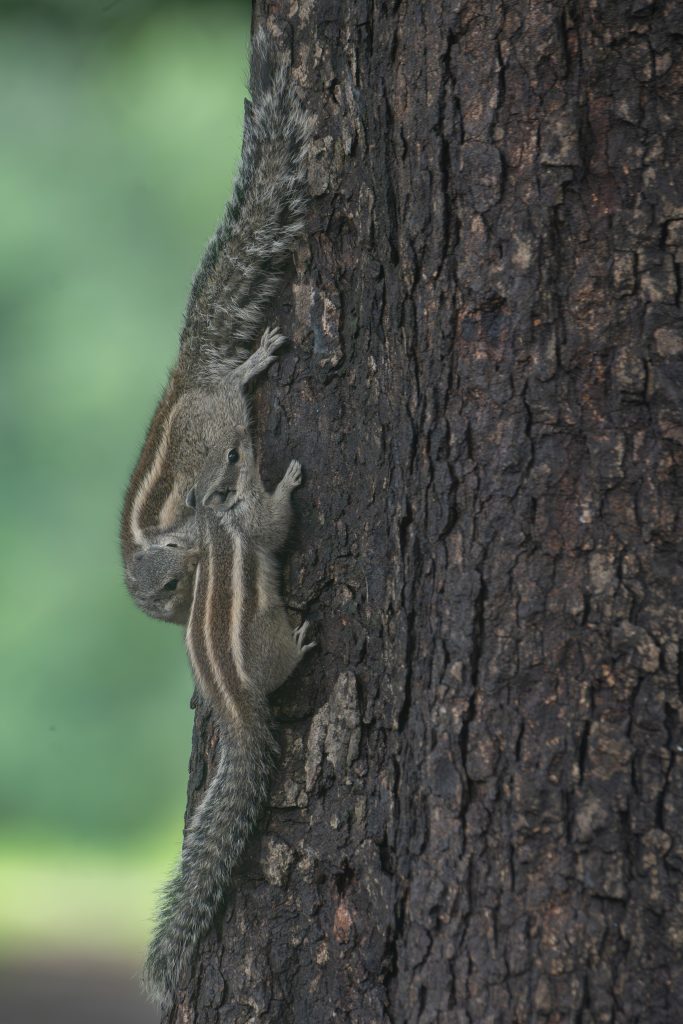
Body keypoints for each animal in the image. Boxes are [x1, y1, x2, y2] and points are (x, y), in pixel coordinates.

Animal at [120, 29, 311, 624]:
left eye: (171, 581)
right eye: (164, 599)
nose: (181, 612)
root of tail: (187, 377)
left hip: (219, 412)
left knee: (232, 387)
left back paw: (254, 361)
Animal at [143, 436, 314, 1008]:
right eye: (235, 456)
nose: (245, 446)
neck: (209, 523)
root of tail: (233, 702)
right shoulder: (247, 525)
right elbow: (274, 523)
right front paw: (284, 481)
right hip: (264, 643)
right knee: (280, 665)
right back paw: (299, 646)